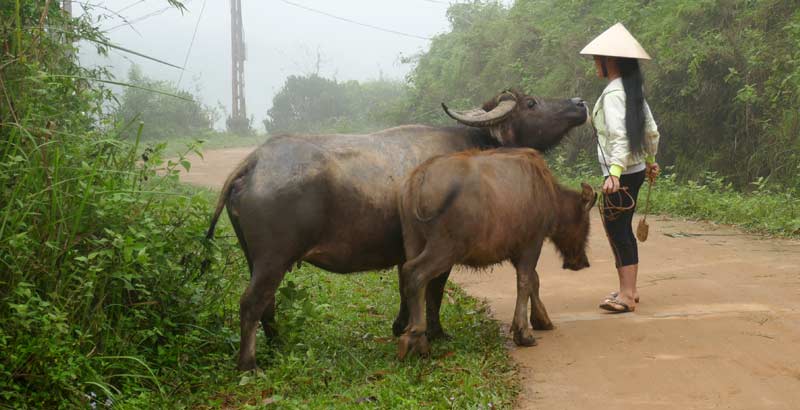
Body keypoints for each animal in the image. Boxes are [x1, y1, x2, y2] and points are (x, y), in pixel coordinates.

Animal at [396, 148, 595, 359]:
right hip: (445, 247)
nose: (582, 262)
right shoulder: (531, 243)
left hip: (413, 240)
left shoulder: (516, 250)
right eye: (585, 223)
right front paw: (523, 333)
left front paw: (541, 319)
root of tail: (417, 179)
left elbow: (534, 280)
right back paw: (415, 336)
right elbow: (525, 282)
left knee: (408, 275)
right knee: (415, 274)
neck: (550, 195)